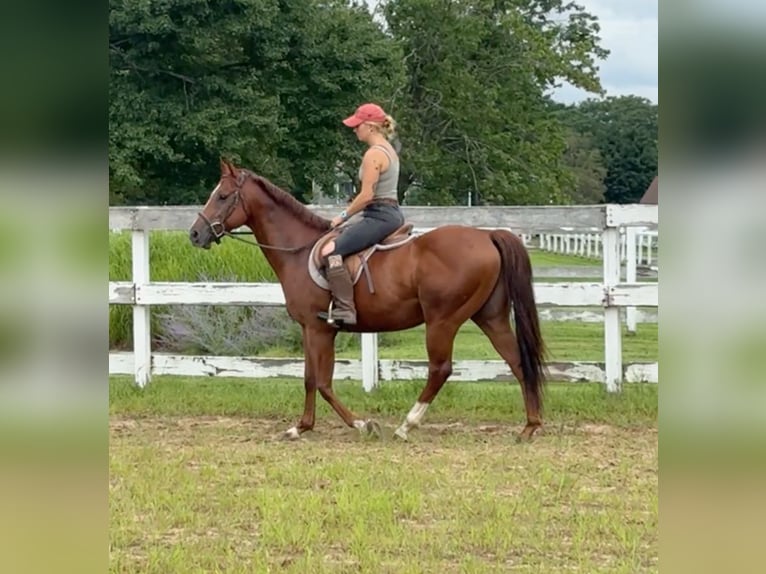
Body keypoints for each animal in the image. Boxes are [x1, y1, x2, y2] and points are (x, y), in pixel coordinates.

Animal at [189, 160, 548, 444]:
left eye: (222, 196)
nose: (195, 234)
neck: (299, 251)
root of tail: (487, 234)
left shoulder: (318, 329)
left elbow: (321, 382)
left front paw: (362, 425)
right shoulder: (312, 329)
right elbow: (310, 378)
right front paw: (301, 427)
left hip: (442, 321)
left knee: (440, 369)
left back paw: (406, 426)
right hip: (490, 317)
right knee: (518, 362)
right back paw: (530, 426)